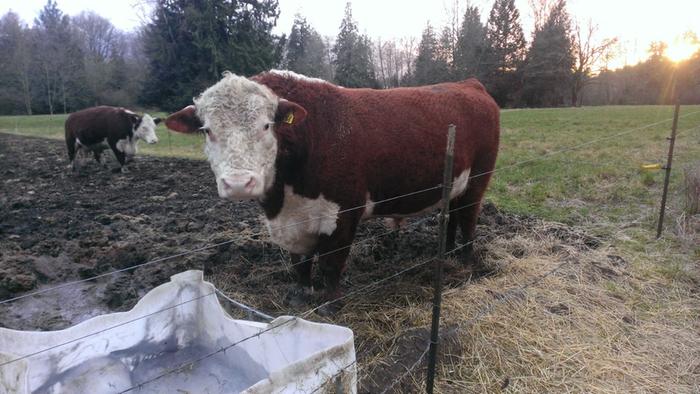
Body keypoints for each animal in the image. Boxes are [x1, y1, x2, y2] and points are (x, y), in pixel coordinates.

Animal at [164, 70, 498, 304]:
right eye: (207, 130)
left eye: (266, 125)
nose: (237, 184)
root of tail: (468, 84)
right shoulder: (292, 221)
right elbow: (300, 262)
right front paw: (301, 294)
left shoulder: (343, 212)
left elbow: (331, 263)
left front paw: (331, 302)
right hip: (454, 185)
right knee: (452, 217)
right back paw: (448, 253)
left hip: (478, 179)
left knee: (468, 219)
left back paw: (465, 261)